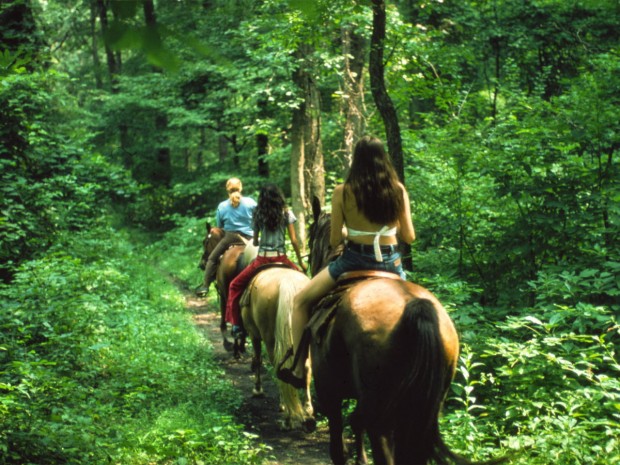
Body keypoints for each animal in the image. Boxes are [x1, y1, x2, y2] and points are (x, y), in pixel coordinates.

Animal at [239, 260, 314, 430]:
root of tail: (288, 284)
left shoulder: (254, 334)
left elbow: (258, 360)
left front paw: (258, 390)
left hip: (270, 339)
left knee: (278, 367)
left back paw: (287, 418)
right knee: (306, 369)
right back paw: (309, 416)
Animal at [306, 198, 504, 464]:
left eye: (310, 236)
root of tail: (416, 307)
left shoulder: (329, 392)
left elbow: (339, 446)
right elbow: (356, 424)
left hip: (382, 414)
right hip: (422, 409)